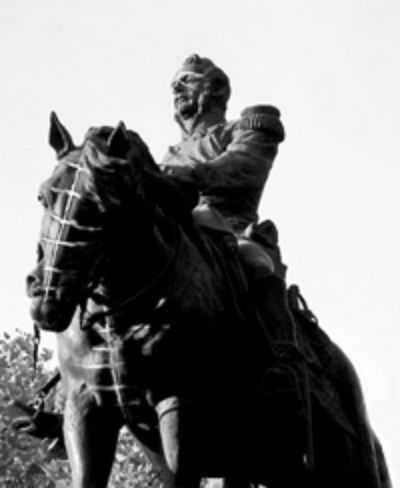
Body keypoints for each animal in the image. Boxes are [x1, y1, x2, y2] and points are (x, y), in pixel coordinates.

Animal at [26, 112, 392, 488]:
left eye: (105, 203)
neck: (122, 317)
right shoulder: (86, 410)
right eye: (43, 197)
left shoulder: (179, 404)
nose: (48, 296)